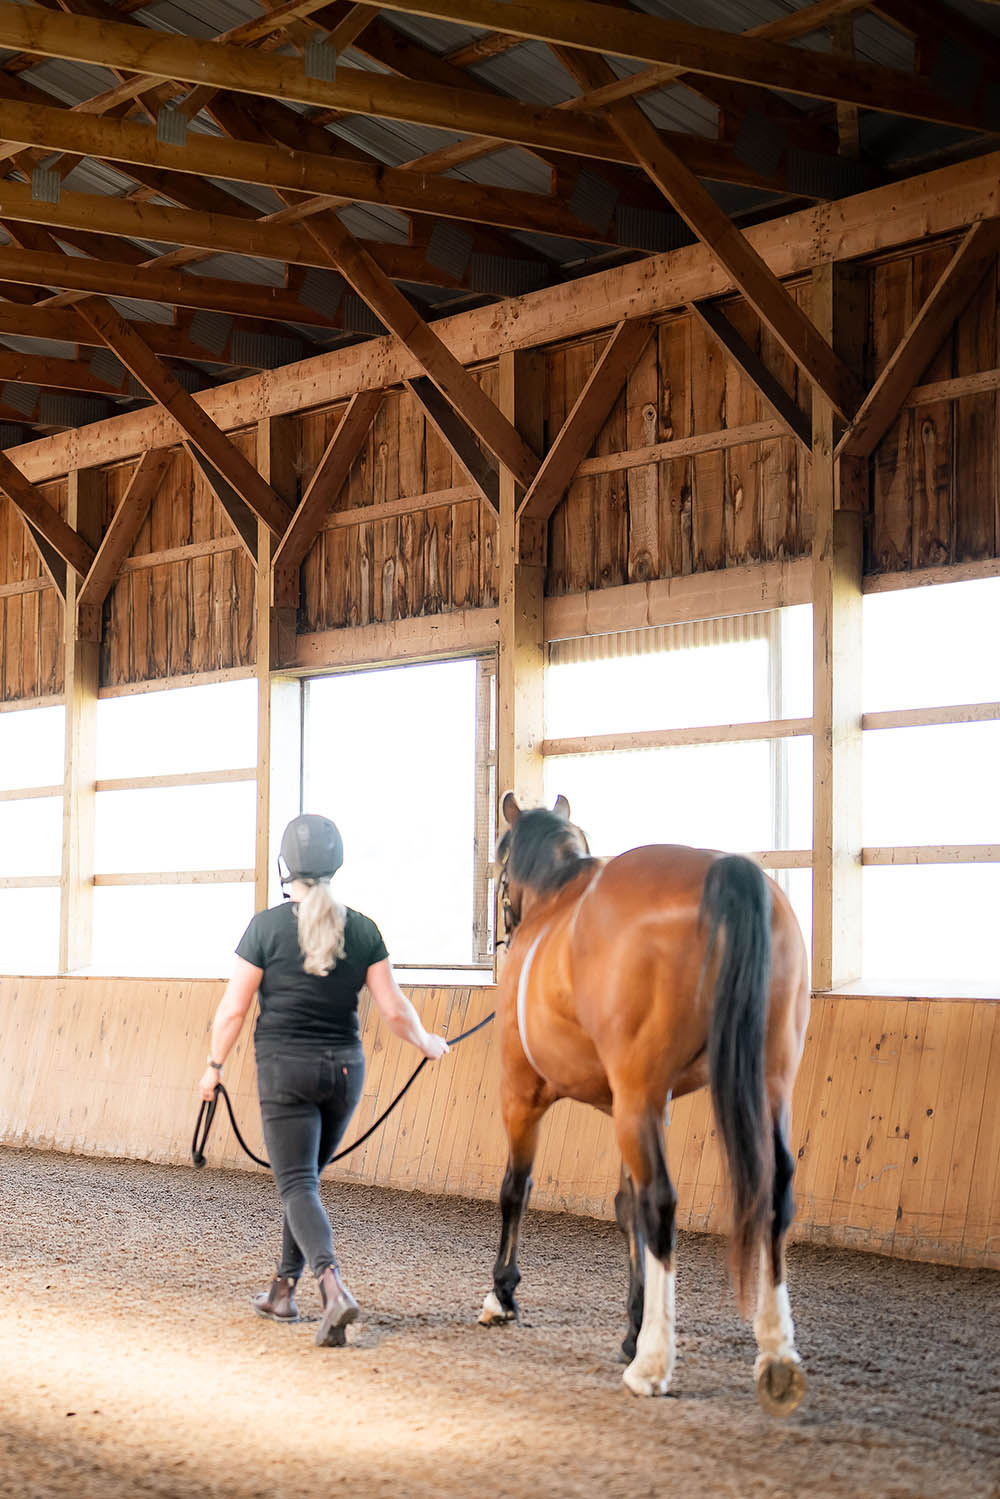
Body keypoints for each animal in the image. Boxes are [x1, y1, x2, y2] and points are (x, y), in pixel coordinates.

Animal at [478, 793, 811, 1415]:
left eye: (502, 865)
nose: (503, 931)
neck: (557, 897)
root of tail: (725, 870)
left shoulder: (522, 1092)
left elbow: (517, 1189)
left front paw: (501, 1296)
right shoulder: (632, 1105)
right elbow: (622, 1205)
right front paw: (630, 1327)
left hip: (637, 1096)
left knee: (662, 1201)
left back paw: (654, 1364)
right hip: (767, 1084)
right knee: (776, 1192)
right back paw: (776, 1356)